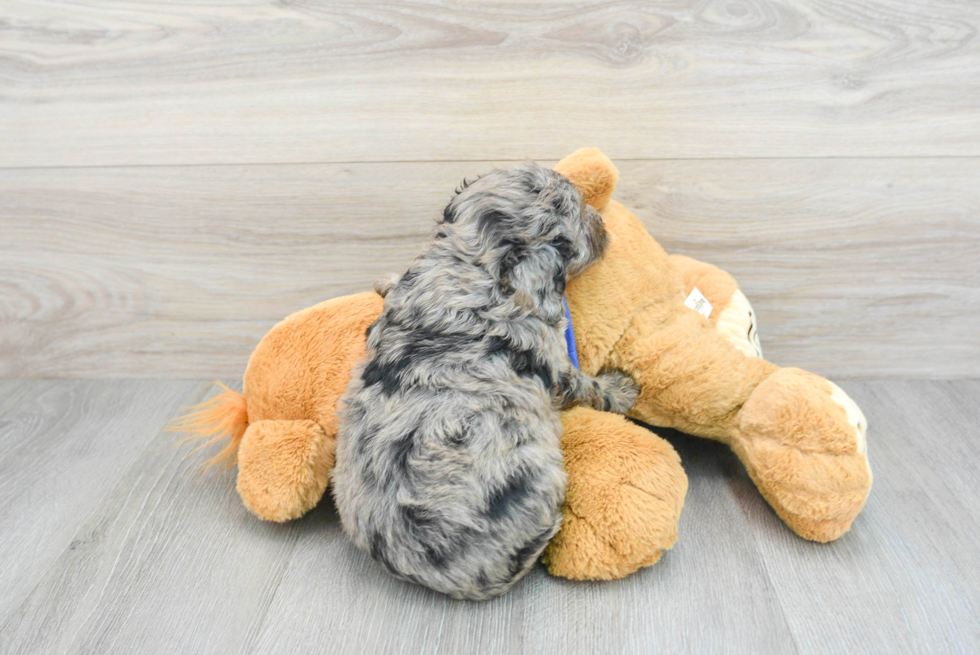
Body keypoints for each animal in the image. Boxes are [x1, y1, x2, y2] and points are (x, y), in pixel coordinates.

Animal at [334, 163, 640, 600]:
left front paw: (386, 281)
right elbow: (586, 386)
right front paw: (622, 388)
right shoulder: (551, 360)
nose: (602, 221)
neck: (472, 260)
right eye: (578, 216)